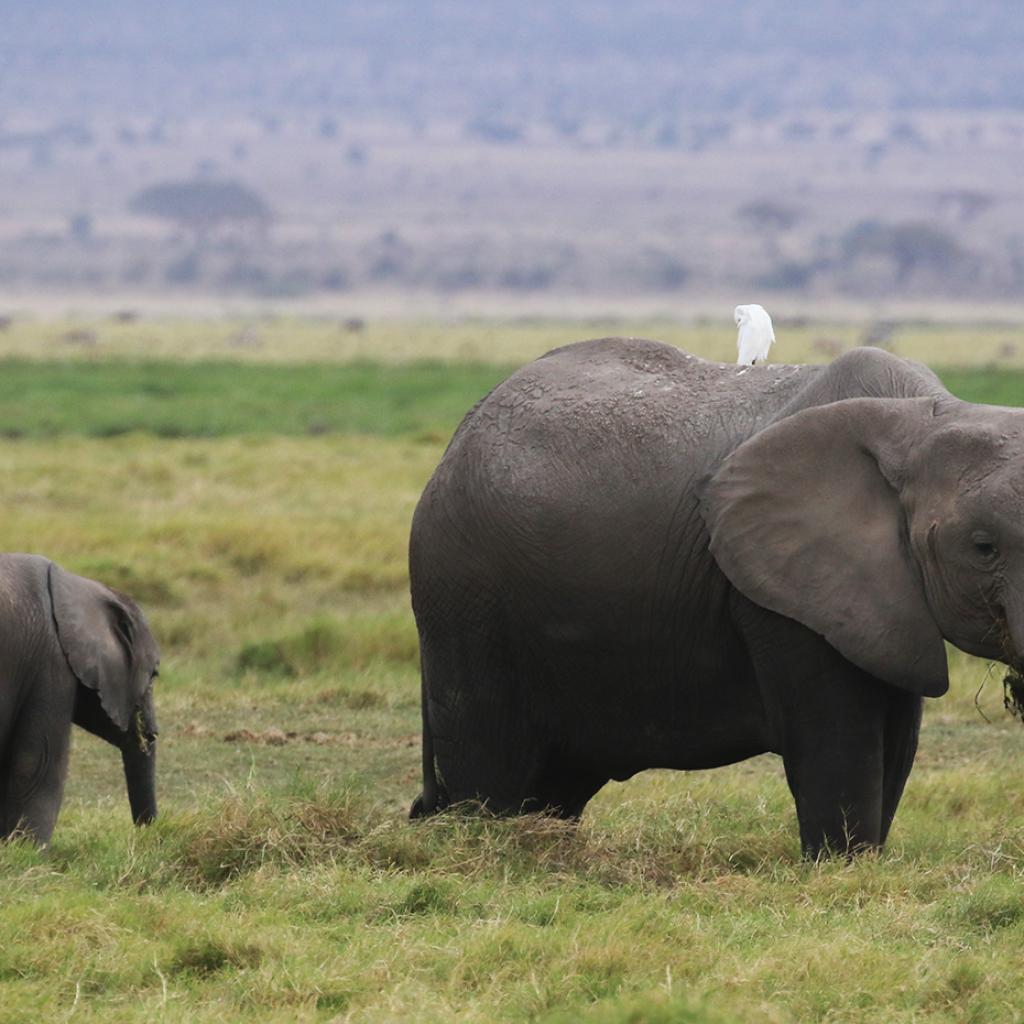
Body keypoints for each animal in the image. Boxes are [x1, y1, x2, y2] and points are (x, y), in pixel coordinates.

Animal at [411, 342, 1024, 856]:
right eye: (983, 547)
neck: (924, 415)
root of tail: (457, 437)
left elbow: (896, 745)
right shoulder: (779, 595)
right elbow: (837, 745)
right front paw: (839, 866)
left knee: (554, 786)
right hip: (465, 597)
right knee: (491, 772)